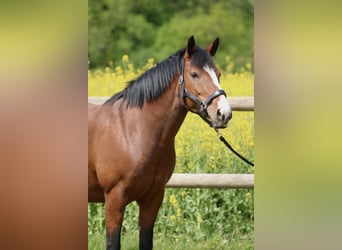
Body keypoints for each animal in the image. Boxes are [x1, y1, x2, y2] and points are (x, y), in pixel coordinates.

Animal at [88, 35, 232, 250]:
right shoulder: (114, 198)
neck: (132, 131)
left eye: (218, 74)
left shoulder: (153, 197)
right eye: (195, 74)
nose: (224, 114)